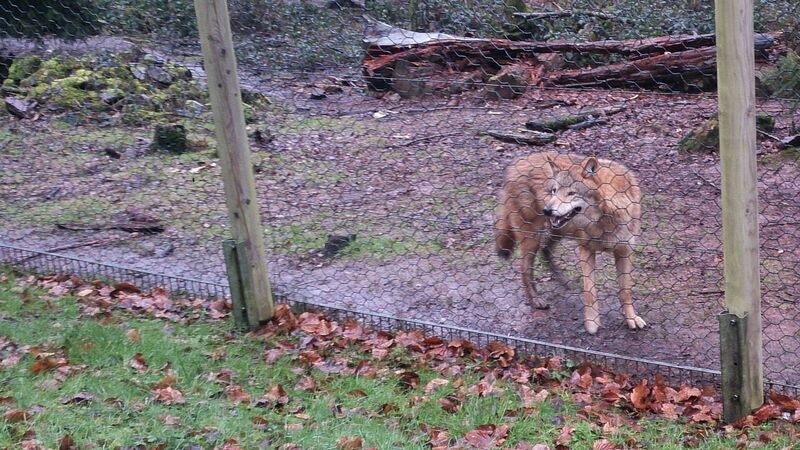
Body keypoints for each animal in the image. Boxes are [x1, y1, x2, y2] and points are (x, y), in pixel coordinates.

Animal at [496, 152, 648, 334]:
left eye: (571, 193)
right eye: (554, 191)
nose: (547, 210)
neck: (606, 218)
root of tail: (516, 163)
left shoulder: (624, 251)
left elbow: (625, 291)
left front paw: (631, 318)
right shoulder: (586, 249)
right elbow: (590, 291)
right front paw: (592, 323)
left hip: (557, 230)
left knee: (545, 251)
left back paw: (562, 281)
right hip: (533, 238)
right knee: (525, 268)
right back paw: (536, 300)